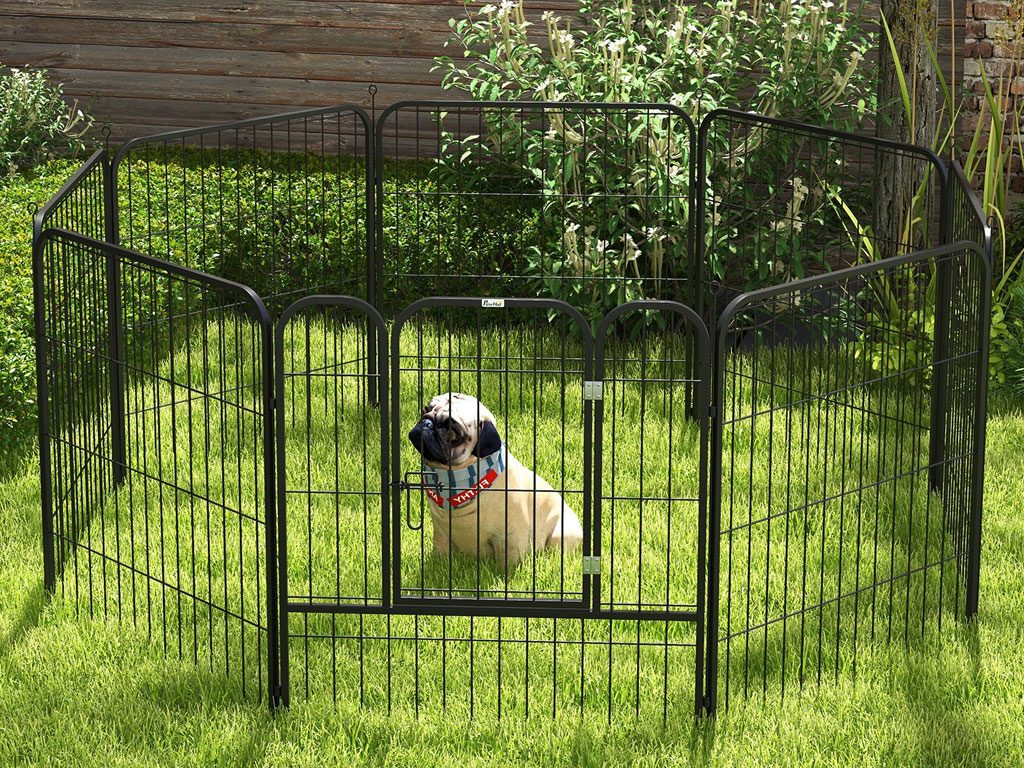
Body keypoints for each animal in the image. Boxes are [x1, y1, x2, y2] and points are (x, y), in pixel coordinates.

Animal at [408, 392, 583, 569]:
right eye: (426, 409)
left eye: (452, 430)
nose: (427, 422)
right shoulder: (441, 533)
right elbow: (441, 552)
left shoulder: (509, 538)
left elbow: (509, 562)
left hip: (560, 537)